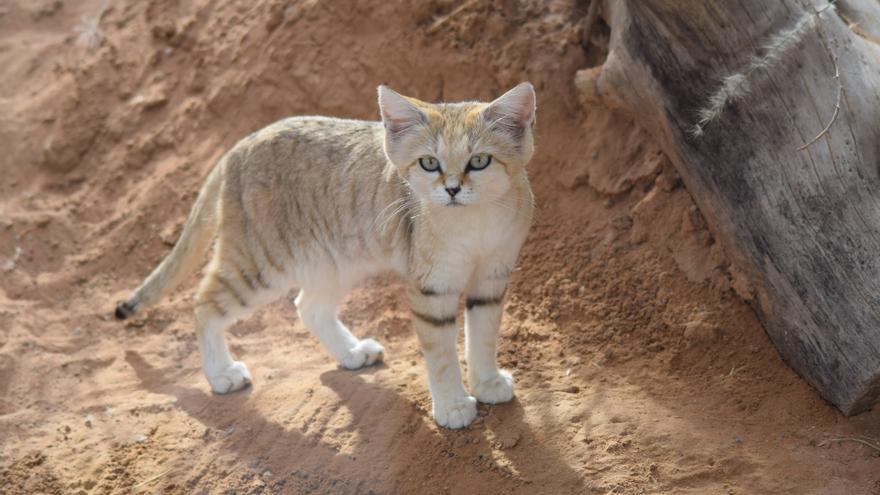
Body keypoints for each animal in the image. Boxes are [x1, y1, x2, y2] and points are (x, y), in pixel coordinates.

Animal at [111, 83, 536, 428]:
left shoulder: (492, 278)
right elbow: (442, 354)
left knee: (308, 306)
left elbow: (483, 336)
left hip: (333, 261)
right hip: (261, 264)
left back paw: (351, 352)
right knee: (203, 303)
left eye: (479, 161)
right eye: (429, 163)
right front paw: (452, 406)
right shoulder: (431, 287)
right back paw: (222, 374)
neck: (475, 224)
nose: (451, 189)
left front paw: (486, 383)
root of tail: (242, 142)